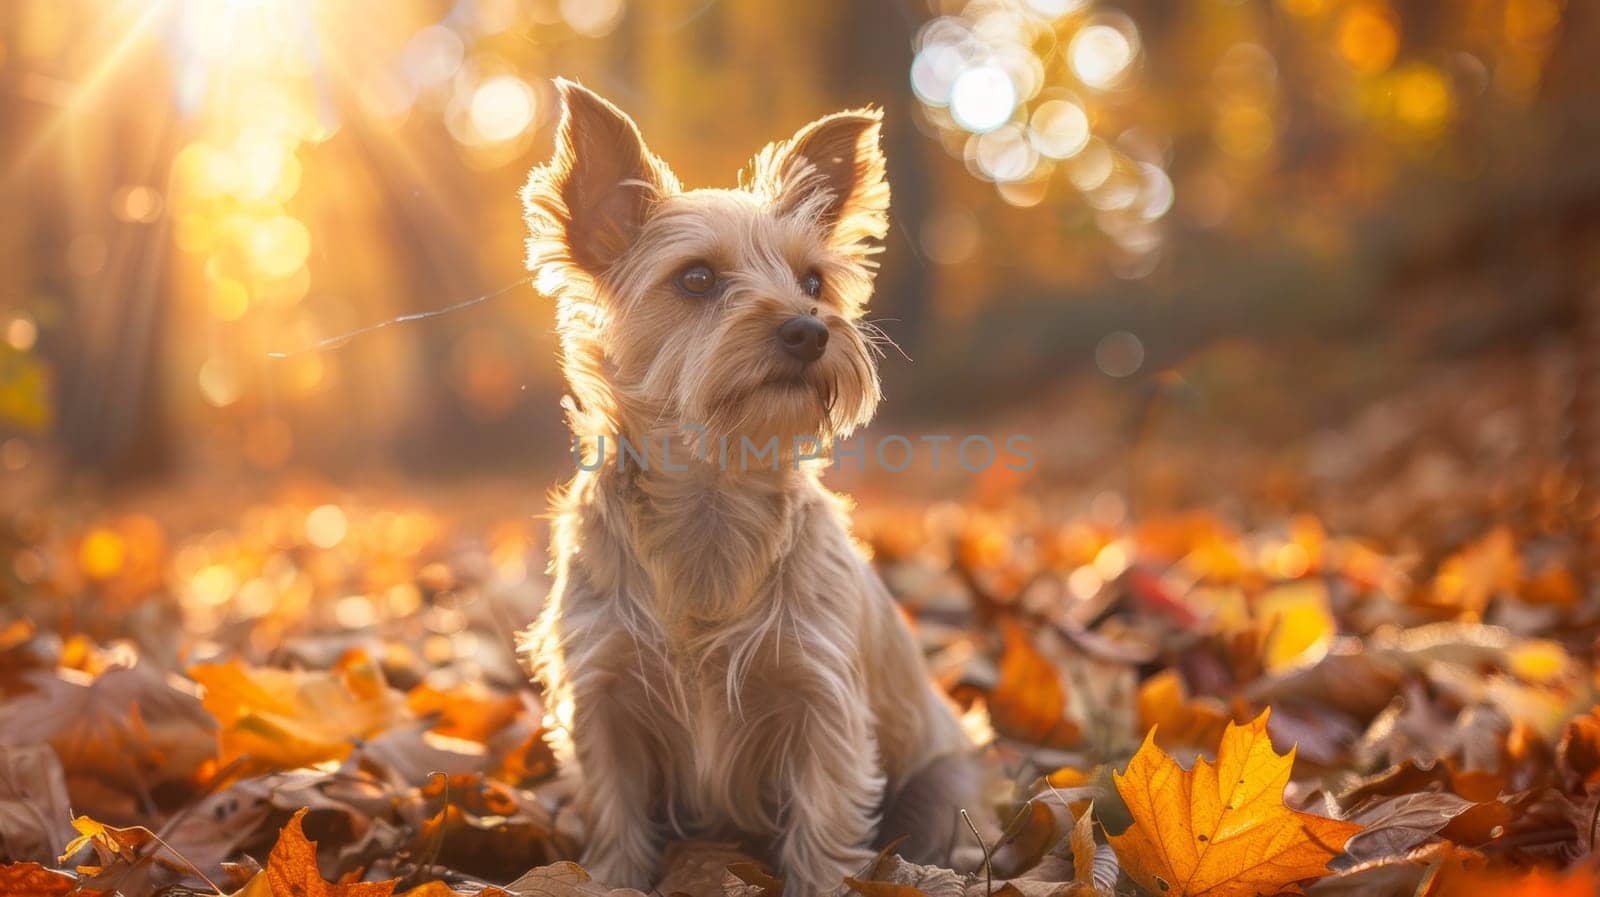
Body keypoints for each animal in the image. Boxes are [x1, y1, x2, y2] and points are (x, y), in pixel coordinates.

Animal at [518, 80, 979, 889]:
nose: (809, 329)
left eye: (813, 281)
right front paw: (613, 876)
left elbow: (822, 831)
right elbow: (616, 818)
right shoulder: (605, 696)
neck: (713, 487)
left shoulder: (821, 704)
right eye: (697, 278)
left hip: (941, 777)